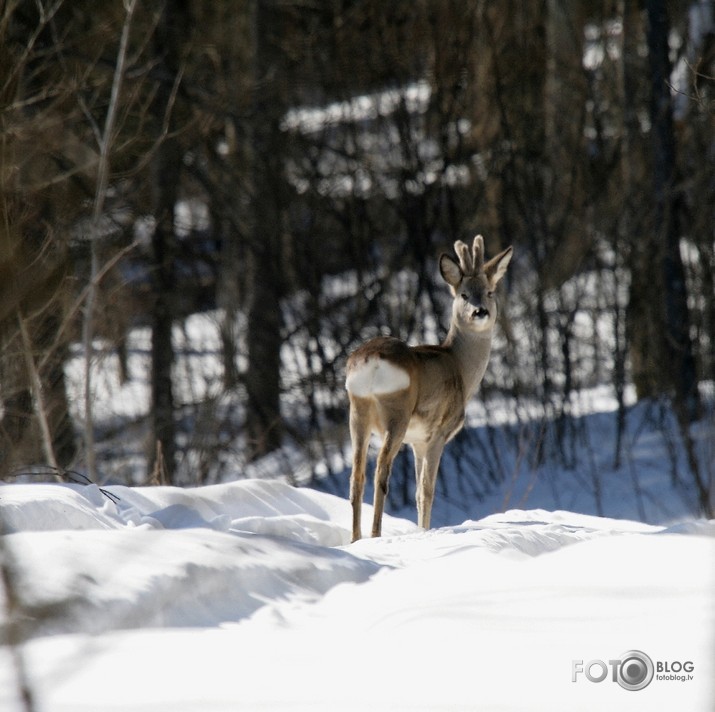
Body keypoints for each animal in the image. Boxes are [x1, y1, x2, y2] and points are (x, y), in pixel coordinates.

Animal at [346, 234, 510, 540]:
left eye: (490, 292)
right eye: (463, 295)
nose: (480, 311)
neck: (460, 366)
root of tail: (370, 361)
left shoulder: (418, 441)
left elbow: (416, 493)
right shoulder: (439, 432)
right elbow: (427, 490)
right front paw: (425, 531)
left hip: (357, 411)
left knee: (357, 474)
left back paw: (355, 539)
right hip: (396, 412)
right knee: (380, 471)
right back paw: (375, 535)